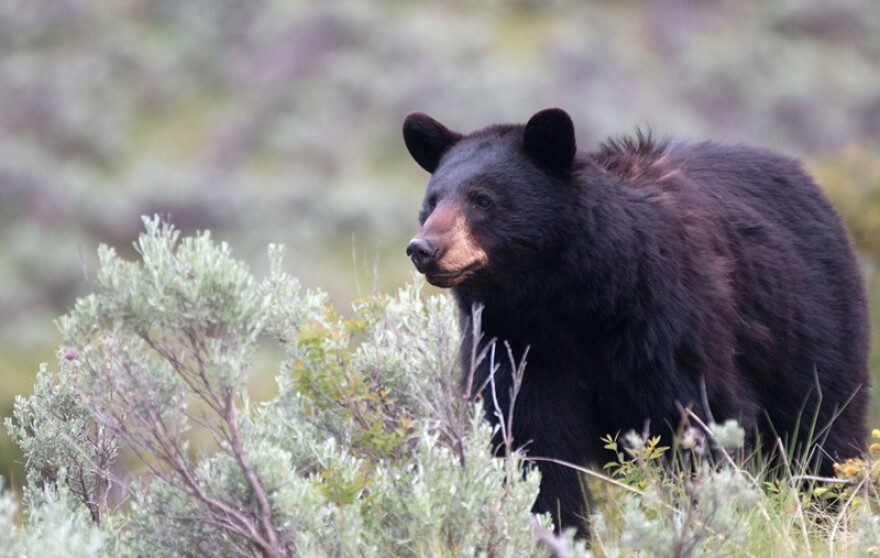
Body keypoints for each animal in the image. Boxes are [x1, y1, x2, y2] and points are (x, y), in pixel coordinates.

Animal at [402, 108, 870, 535]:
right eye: (432, 201)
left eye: (483, 199)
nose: (424, 248)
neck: (566, 301)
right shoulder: (515, 344)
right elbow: (531, 443)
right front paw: (556, 528)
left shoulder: (667, 321)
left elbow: (697, 420)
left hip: (813, 324)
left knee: (823, 428)